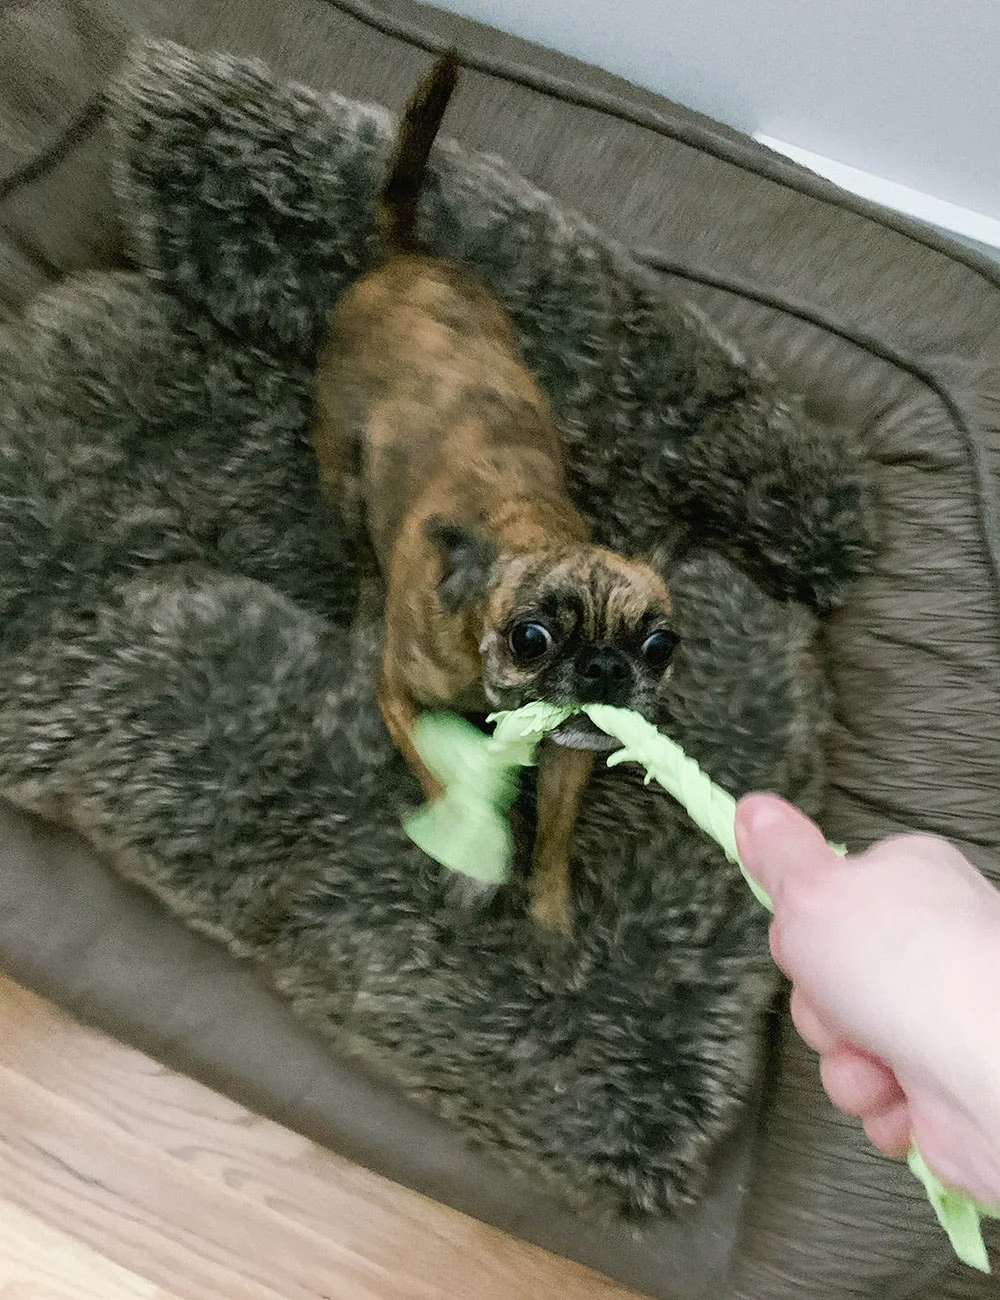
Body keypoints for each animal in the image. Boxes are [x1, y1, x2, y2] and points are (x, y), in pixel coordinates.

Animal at [308, 55, 676, 935]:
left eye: (660, 645)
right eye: (531, 638)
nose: (606, 667)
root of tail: (403, 260)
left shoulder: (569, 753)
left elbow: (556, 832)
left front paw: (548, 913)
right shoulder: (402, 700)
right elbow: (442, 778)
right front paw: (472, 860)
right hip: (341, 473)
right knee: (359, 551)